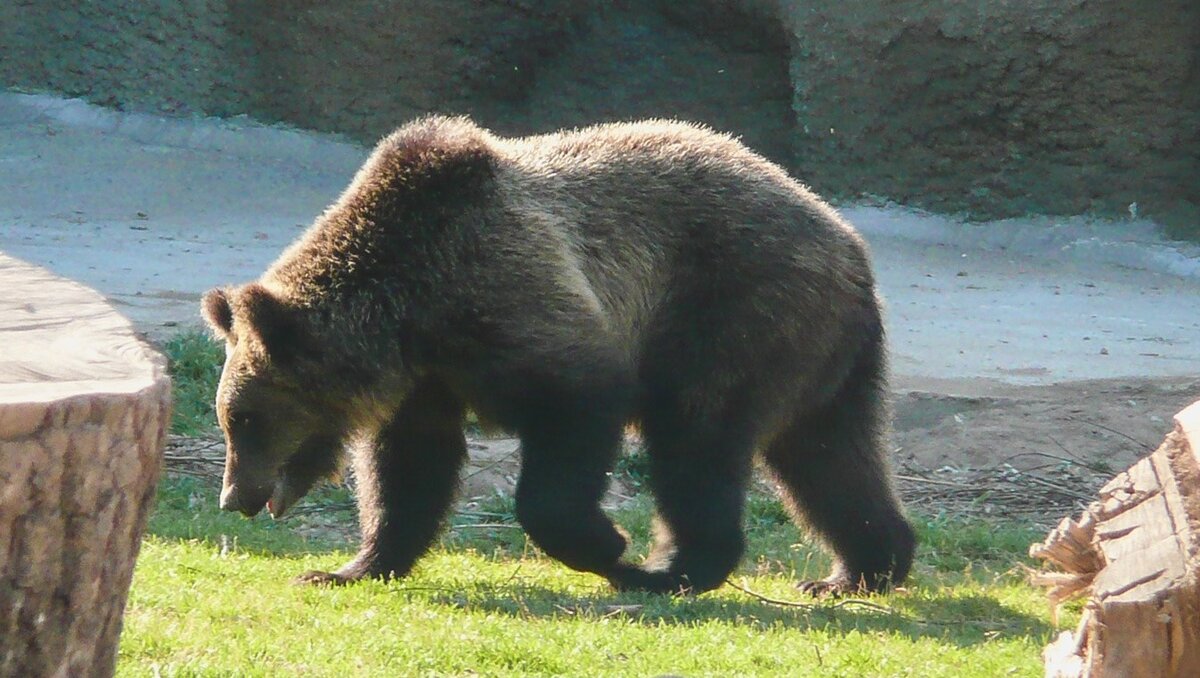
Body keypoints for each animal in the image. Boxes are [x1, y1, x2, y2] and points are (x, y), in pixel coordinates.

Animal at [201, 115, 912, 592]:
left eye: (245, 418)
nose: (234, 497)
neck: (409, 307)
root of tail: (849, 245)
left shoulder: (513, 300)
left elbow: (576, 410)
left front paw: (606, 544)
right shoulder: (427, 377)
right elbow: (409, 469)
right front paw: (347, 567)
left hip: (733, 310)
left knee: (697, 436)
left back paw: (670, 570)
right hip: (822, 356)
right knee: (829, 456)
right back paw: (861, 569)